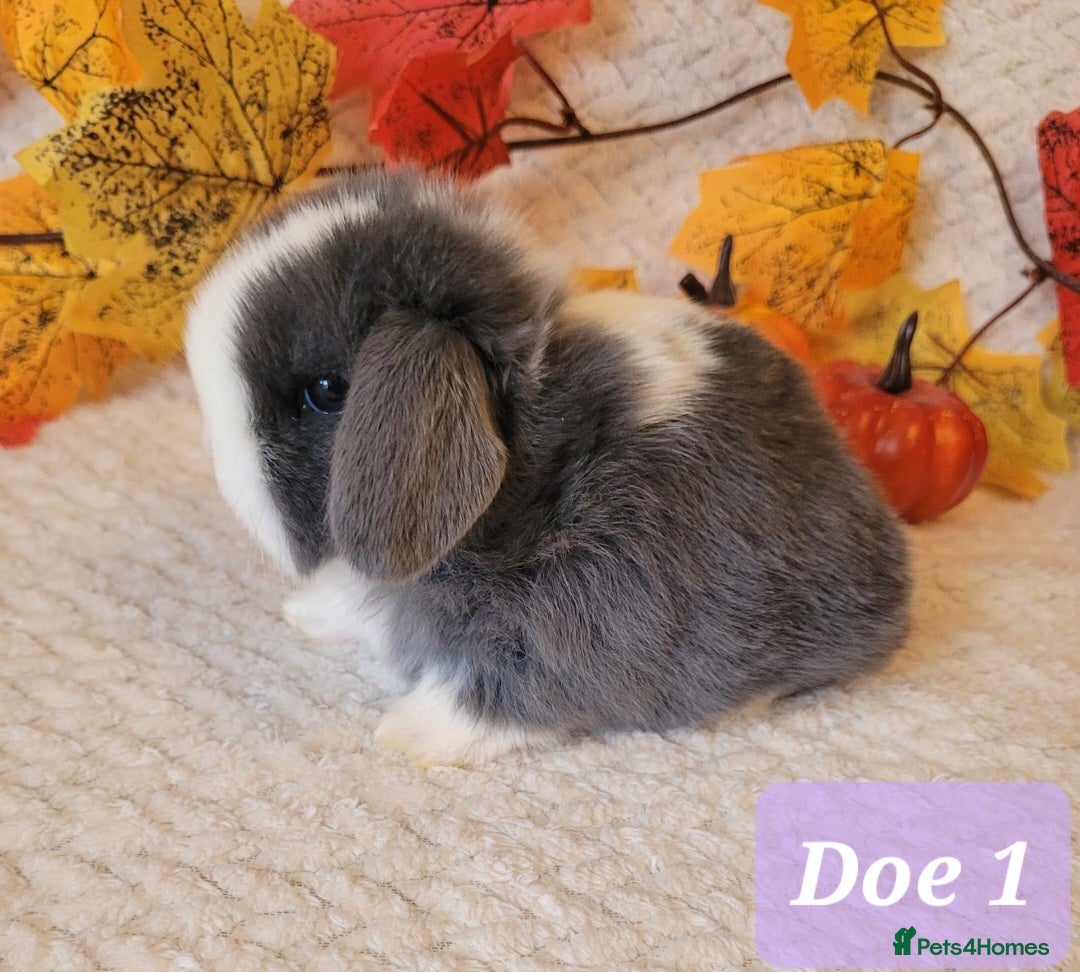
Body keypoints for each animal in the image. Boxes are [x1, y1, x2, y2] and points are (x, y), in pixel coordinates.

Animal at [185, 169, 911, 766]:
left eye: (327, 392)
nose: (218, 465)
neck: (532, 473)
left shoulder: (581, 615)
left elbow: (496, 690)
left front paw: (408, 734)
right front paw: (308, 614)